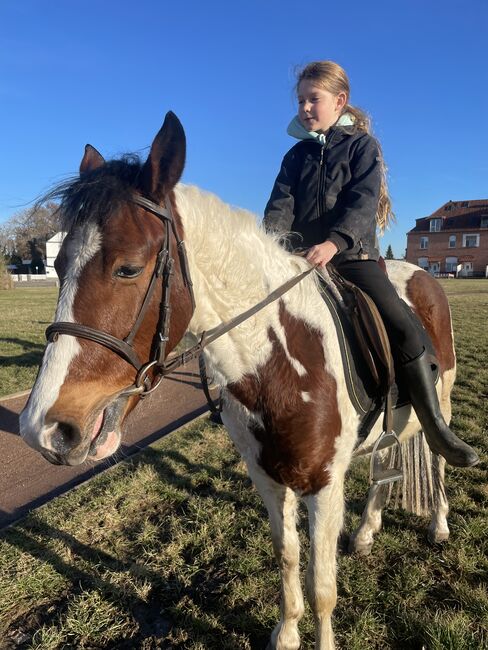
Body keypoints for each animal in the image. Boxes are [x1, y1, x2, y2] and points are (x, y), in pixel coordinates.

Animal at [19, 114, 454, 644]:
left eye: (128, 268)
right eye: (58, 266)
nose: (43, 428)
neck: (279, 362)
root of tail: (420, 273)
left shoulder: (325, 486)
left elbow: (323, 587)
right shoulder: (266, 477)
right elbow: (287, 556)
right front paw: (286, 635)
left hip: (441, 403)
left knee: (437, 458)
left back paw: (439, 525)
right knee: (387, 458)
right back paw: (367, 532)